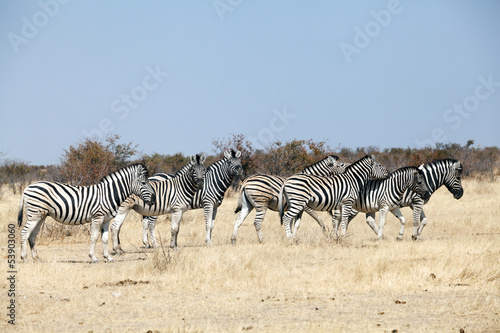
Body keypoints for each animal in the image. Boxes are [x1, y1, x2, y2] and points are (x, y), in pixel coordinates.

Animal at [17, 163, 154, 262]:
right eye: (143, 183)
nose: (153, 199)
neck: (108, 194)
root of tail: (27, 187)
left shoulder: (106, 219)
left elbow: (105, 238)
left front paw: (108, 257)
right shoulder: (97, 217)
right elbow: (94, 237)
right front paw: (93, 257)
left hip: (41, 216)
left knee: (32, 235)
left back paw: (37, 258)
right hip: (34, 215)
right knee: (24, 233)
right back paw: (24, 258)